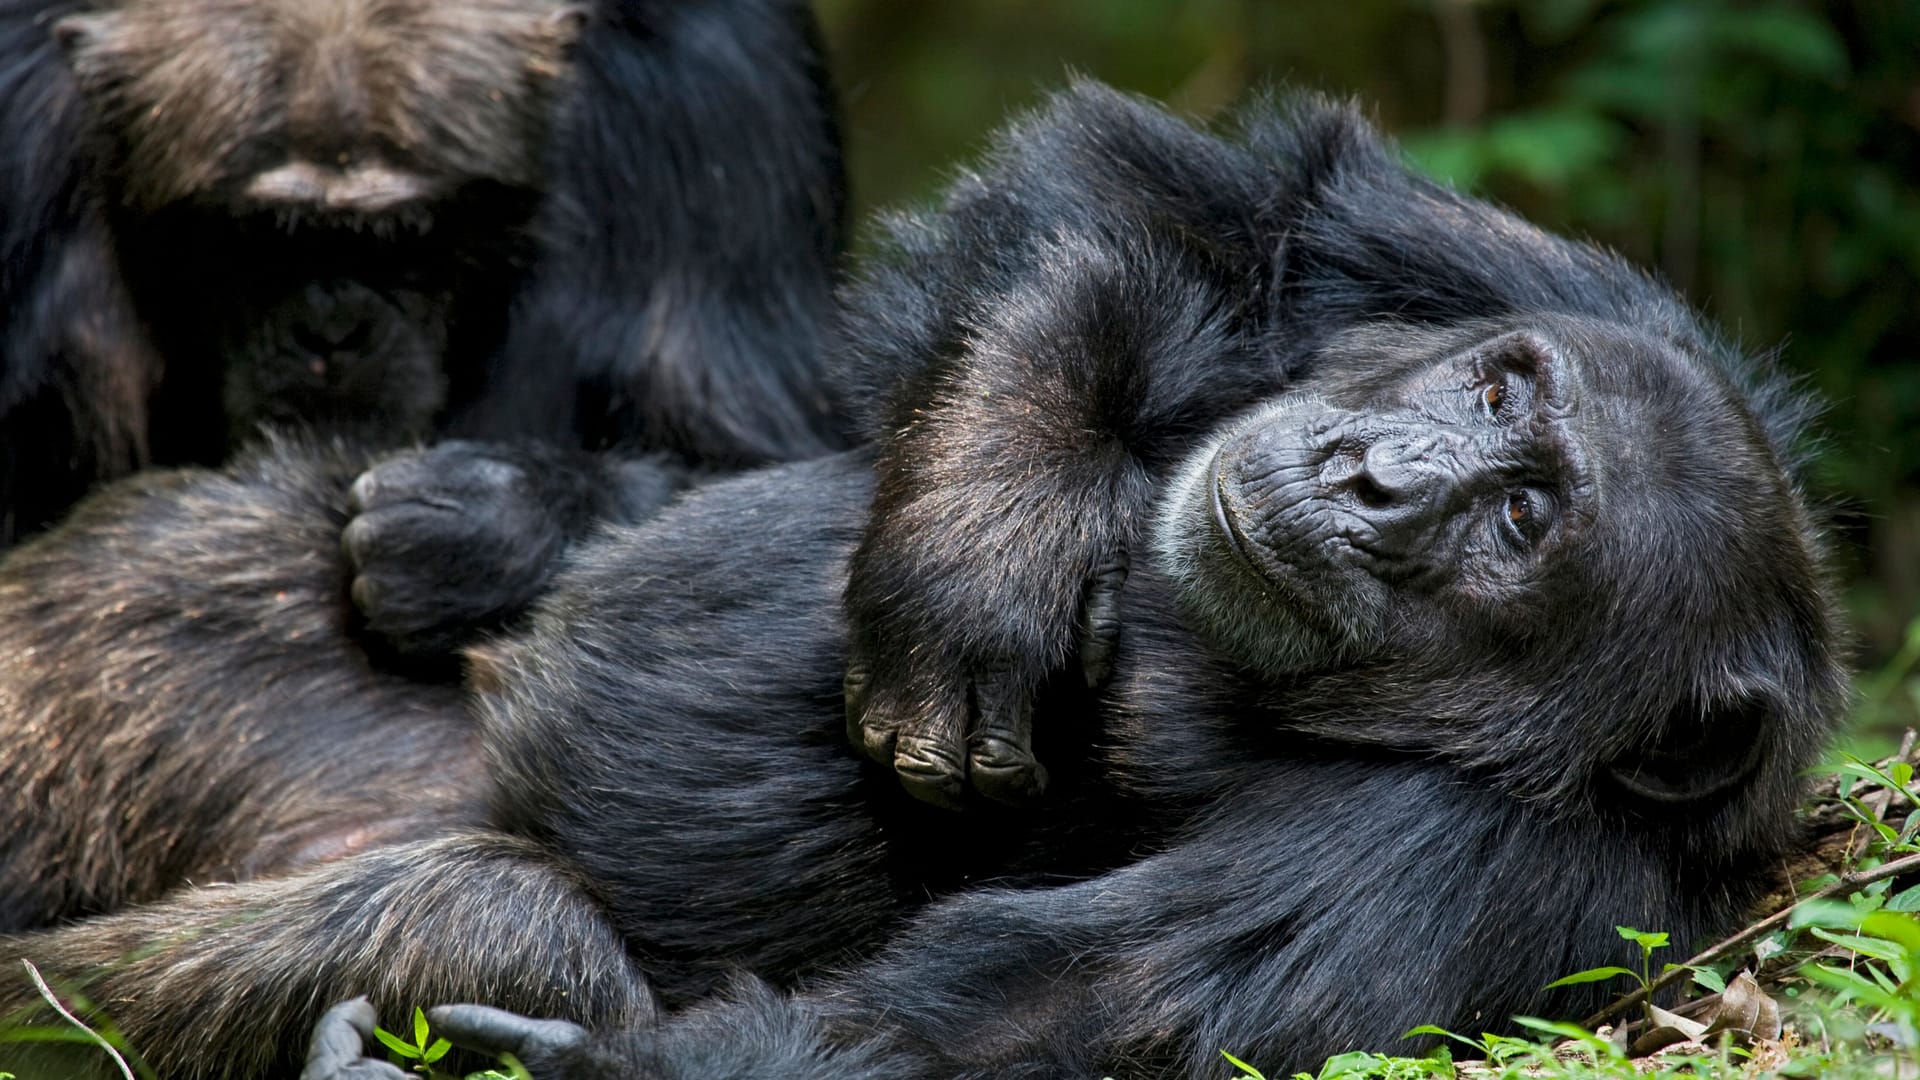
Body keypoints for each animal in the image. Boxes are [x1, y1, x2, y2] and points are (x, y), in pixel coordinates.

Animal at [0, 0, 848, 541]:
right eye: (259, 234)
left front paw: (495, 512)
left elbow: (759, 465)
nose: (333, 325)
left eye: (406, 233)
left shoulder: (725, 91)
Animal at [7, 84, 1850, 1076]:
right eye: (1496, 391)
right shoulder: (1527, 272)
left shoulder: (1468, 875)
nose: (1376, 475)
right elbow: (1205, 201)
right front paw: (983, 538)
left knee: (490, 914)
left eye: (1525, 524)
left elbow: (997, 1024)